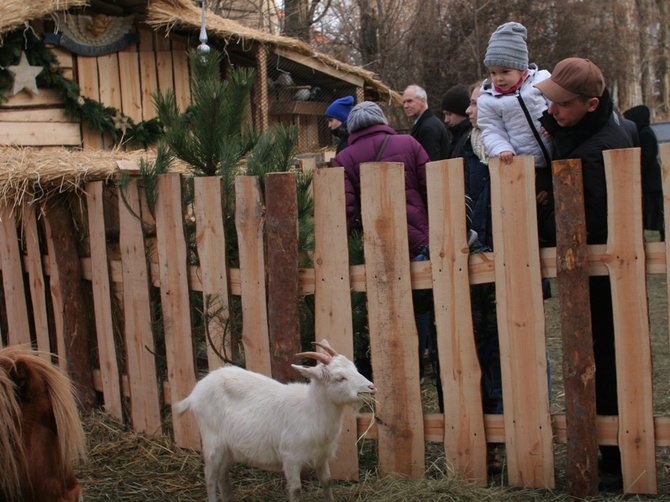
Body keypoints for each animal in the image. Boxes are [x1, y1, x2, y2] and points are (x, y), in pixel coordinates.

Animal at [176, 342, 378, 502]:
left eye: (354, 368)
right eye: (340, 378)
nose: (372, 388)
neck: (310, 410)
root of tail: (195, 392)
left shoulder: (321, 455)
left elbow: (327, 482)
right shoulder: (290, 457)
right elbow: (296, 490)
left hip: (229, 447)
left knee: (222, 476)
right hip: (212, 441)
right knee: (210, 477)